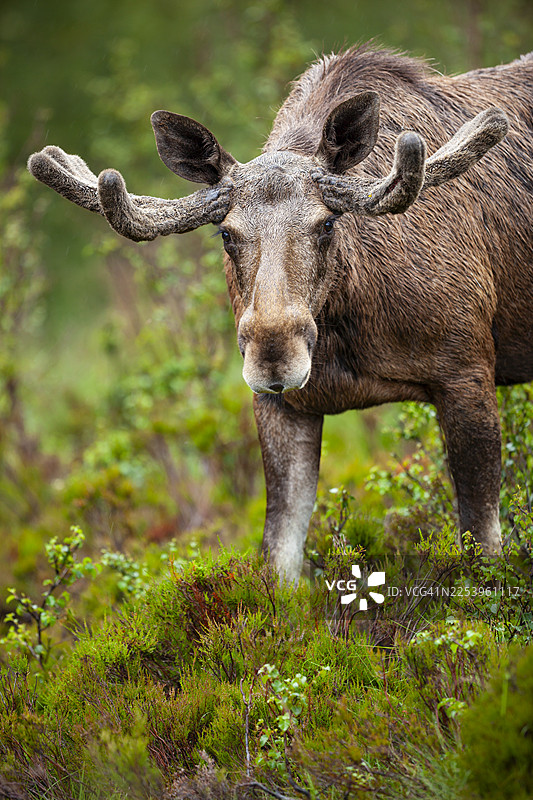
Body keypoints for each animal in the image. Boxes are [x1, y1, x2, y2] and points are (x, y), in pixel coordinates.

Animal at [28, 44, 533, 583]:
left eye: (328, 223)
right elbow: (279, 553)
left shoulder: (466, 370)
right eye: (226, 233)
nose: (273, 356)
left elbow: (483, 542)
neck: (349, 330)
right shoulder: (283, 407)